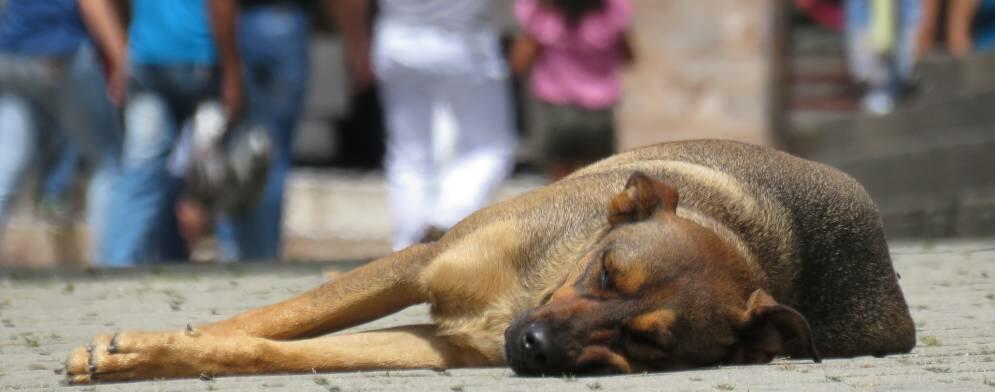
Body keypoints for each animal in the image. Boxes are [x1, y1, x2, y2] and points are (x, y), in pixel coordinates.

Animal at [66, 140, 916, 382]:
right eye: (606, 274)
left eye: (647, 341)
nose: (533, 348)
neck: (526, 293)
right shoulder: (419, 263)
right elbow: (272, 319)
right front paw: (136, 349)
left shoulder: (440, 346)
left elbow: (264, 349)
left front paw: (151, 353)